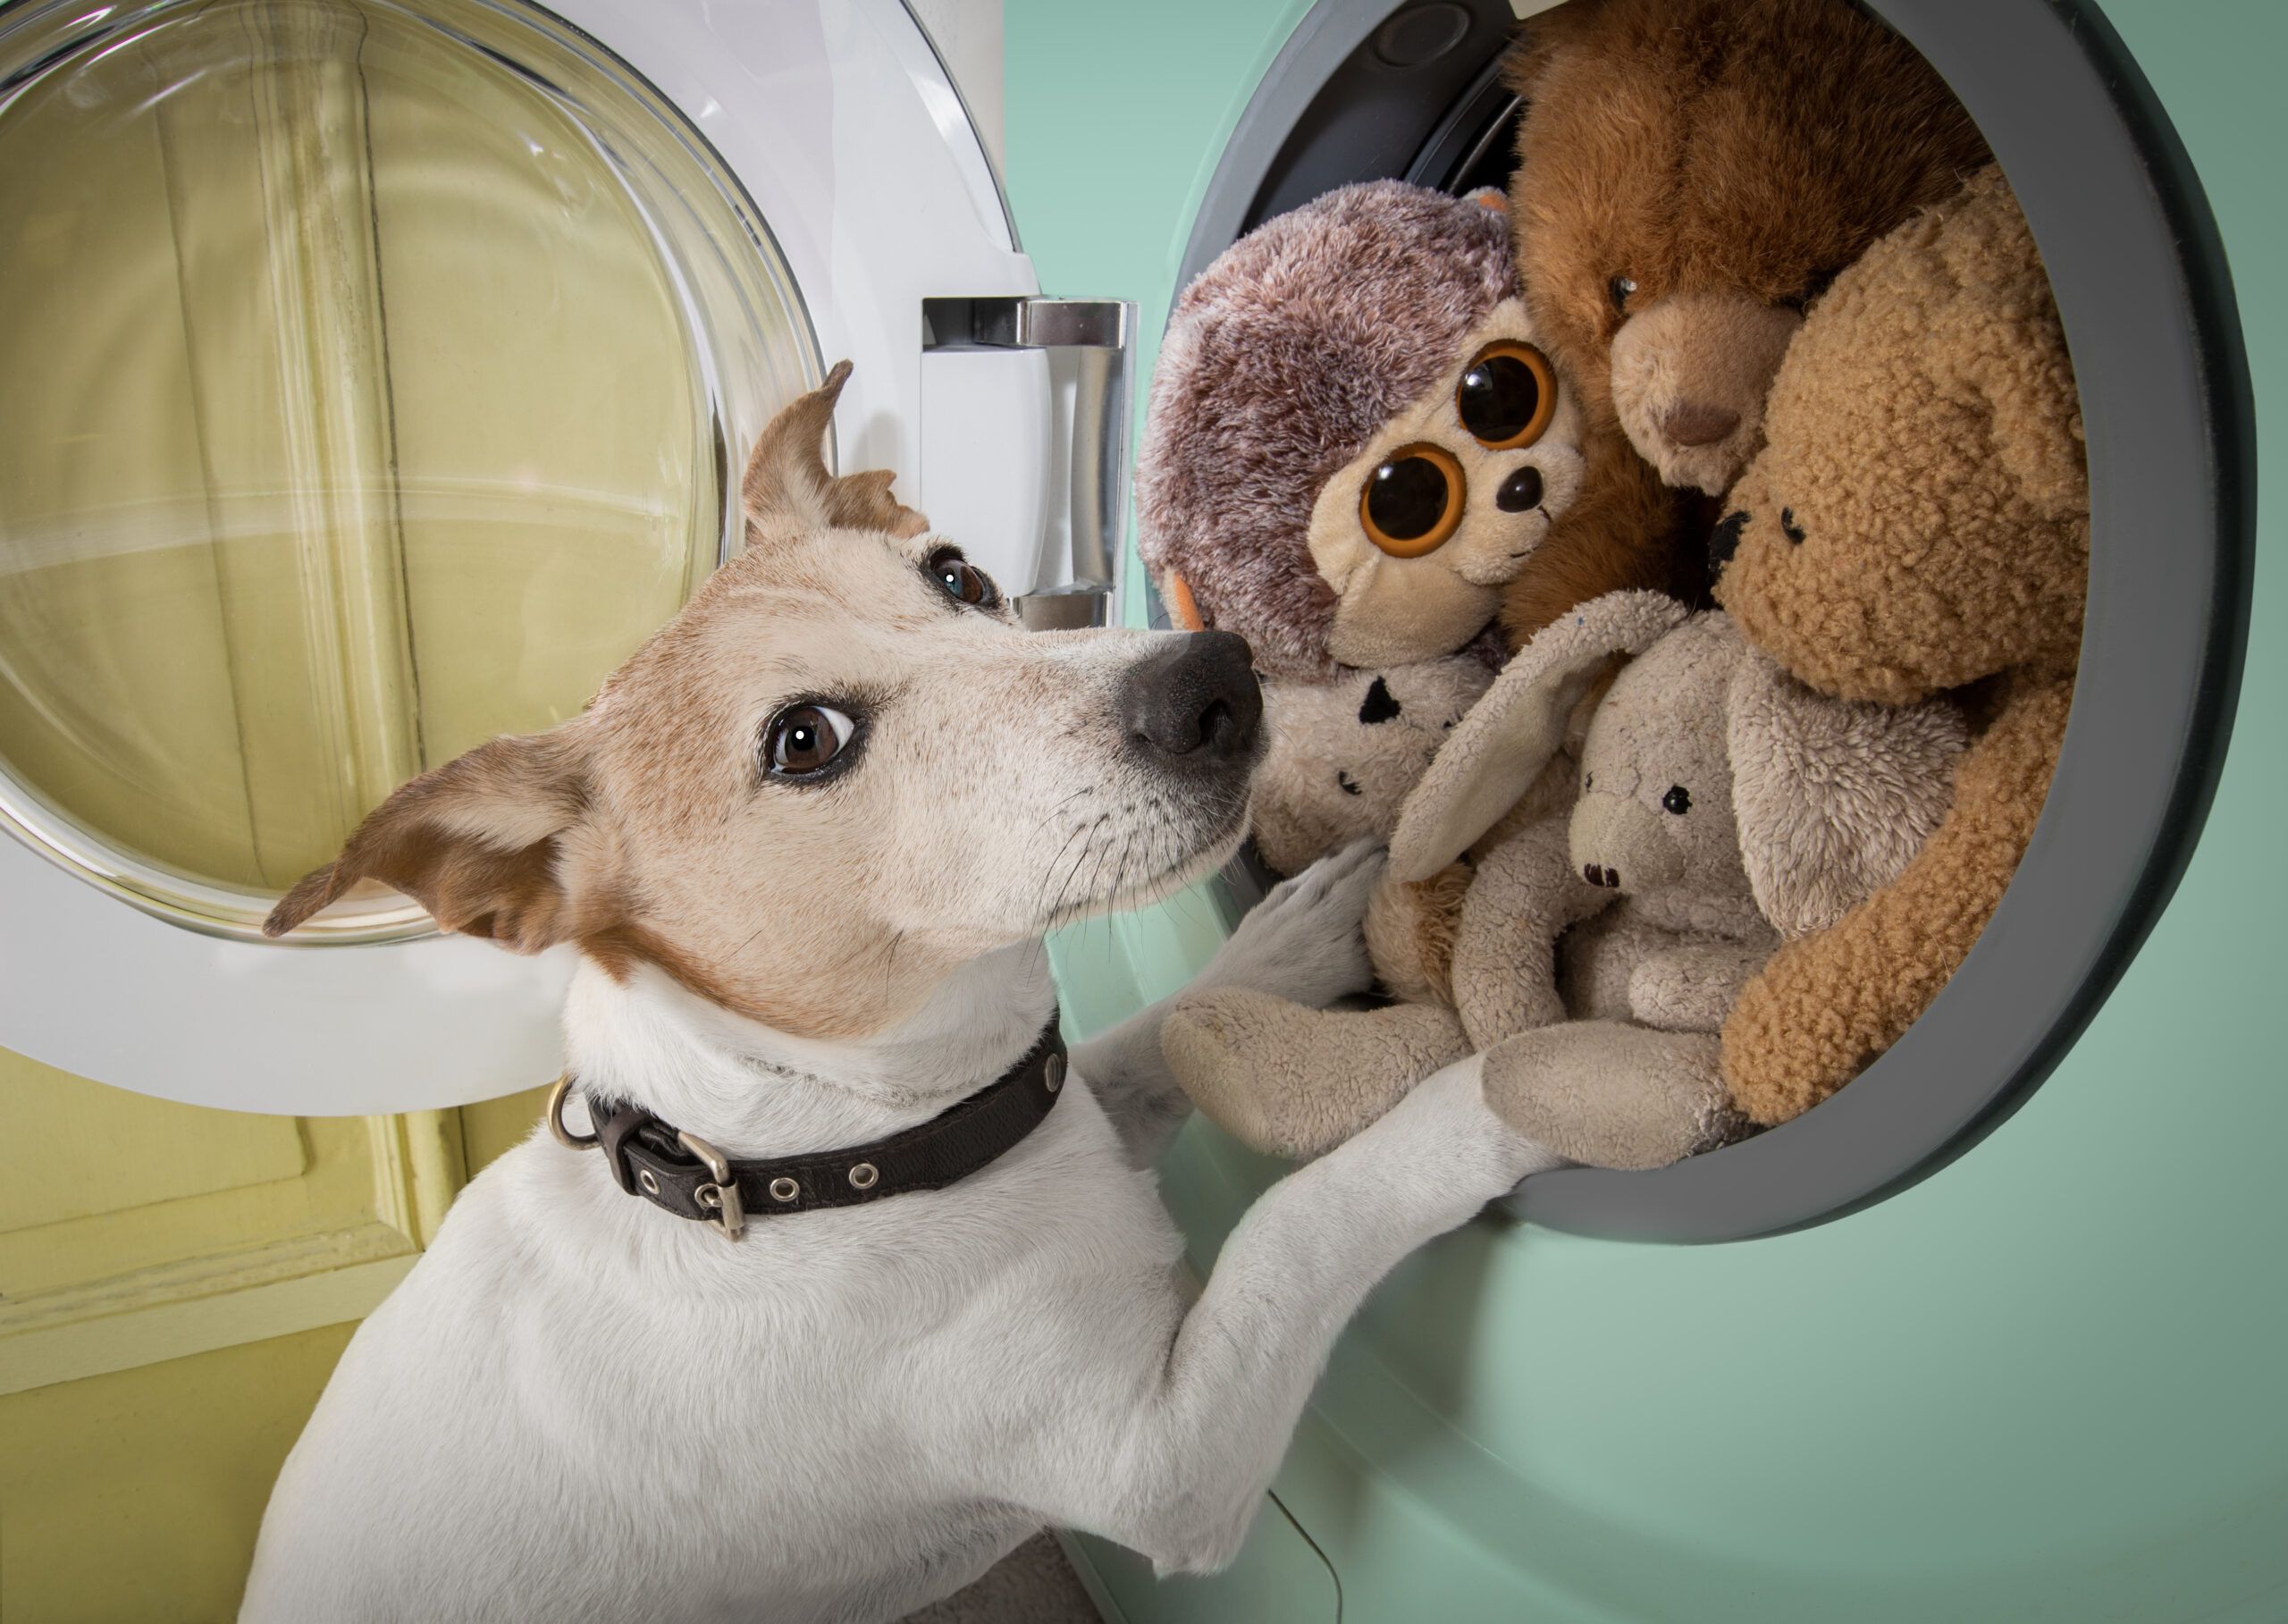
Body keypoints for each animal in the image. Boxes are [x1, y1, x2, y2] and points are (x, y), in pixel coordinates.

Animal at [241, 368, 1546, 1624]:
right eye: (805, 739)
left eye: (960, 574)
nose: (1213, 675)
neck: (802, 1162)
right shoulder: (1167, 1457)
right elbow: (1303, 1221)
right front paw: (1510, 1093)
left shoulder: (1048, 1085)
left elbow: (1152, 1036)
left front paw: (1288, 941)